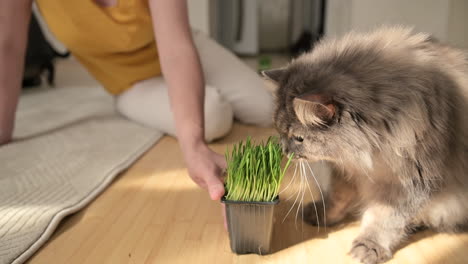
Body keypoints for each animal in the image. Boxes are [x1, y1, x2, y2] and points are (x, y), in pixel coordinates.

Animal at [264, 27, 468, 264]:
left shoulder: (409, 183)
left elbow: (383, 219)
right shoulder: (347, 171)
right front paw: (322, 216)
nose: (285, 151)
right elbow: (337, 199)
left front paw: (368, 247)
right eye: (279, 131)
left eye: (298, 138)